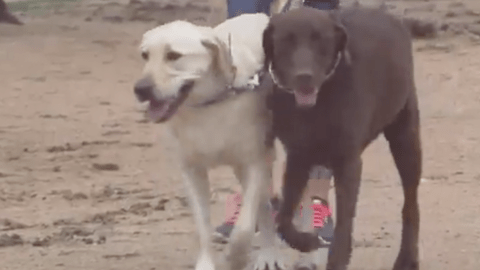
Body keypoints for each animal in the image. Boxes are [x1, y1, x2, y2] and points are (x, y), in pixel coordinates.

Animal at [133, 13, 284, 270]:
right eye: (145, 55)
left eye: (173, 55)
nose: (140, 89)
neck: (207, 105)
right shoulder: (192, 170)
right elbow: (202, 226)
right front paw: (207, 262)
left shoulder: (254, 164)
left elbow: (244, 229)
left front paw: (235, 258)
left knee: (264, 207)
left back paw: (268, 254)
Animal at [262, 5, 420, 270]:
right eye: (286, 40)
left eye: (320, 40)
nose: (304, 76)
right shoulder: (298, 157)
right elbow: (283, 217)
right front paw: (305, 241)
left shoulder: (348, 163)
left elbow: (344, 224)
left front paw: (337, 258)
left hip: (406, 140)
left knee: (411, 205)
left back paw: (407, 258)